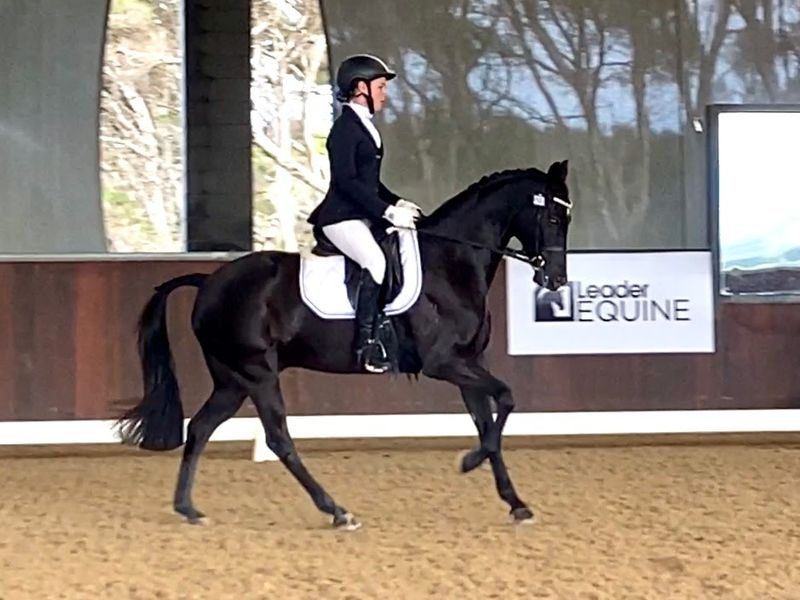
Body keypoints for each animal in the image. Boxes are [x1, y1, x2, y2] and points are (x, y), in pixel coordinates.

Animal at [116, 159, 573, 530]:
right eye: (551, 215)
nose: (554, 281)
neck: (451, 262)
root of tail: (209, 282)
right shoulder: (445, 363)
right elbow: (507, 399)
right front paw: (468, 461)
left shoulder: (467, 363)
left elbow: (487, 423)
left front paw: (515, 502)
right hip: (257, 374)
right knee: (277, 438)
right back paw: (337, 511)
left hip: (232, 380)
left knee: (200, 427)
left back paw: (188, 508)